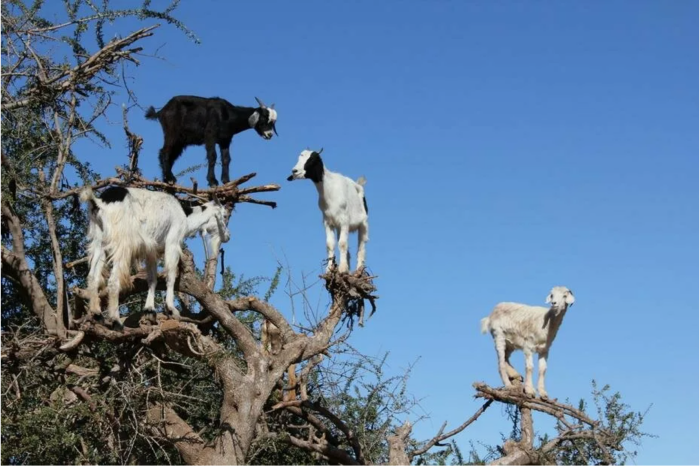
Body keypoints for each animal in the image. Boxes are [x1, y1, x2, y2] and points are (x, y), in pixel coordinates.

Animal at [81, 186, 230, 328]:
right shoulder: (172, 243)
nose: (227, 236)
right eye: (224, 216)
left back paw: (97, 314)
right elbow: (170, 275)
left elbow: (152, 279)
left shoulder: (151, 250)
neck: (185, 216)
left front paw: (149, 308)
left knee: (92, 276)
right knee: (113, 280)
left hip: (99, 243)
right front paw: (171, 308)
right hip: (122, 243)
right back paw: (116, 321)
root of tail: (99, 202)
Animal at [144, 95, 276, 187]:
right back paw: (170, 179)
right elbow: (212, 156)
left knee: (170, 155)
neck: (227, 114)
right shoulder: (210, 136)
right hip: (172, 133)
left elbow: (226, 159)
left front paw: (226, 181)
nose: (269, 135)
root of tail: (162, 110)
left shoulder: (225, 140)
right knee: (165, 152)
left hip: (180, 140)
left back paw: (166, 179)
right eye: (263, 119)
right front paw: (212, 181)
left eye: (273, 122)